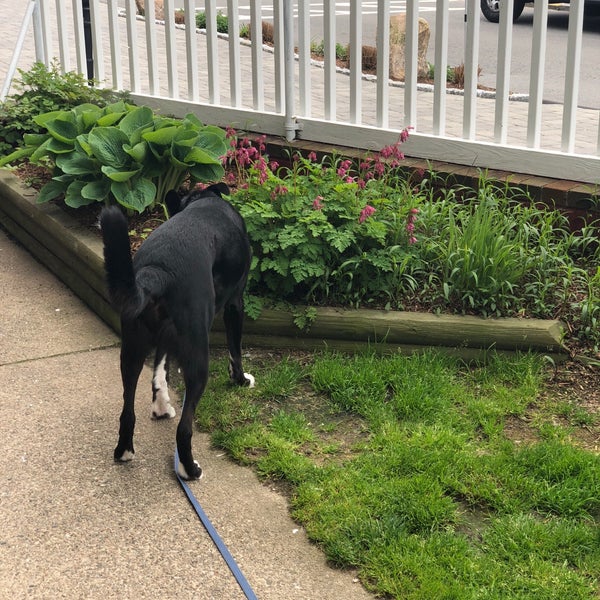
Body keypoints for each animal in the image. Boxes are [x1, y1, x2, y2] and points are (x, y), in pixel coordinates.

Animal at [100, 183, 253, 478]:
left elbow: (161, 367)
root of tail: (160, 271)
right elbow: (236, 351)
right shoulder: (235, 303)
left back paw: (125, 450)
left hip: (132, 349)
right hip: (198, 357)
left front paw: (161, 404)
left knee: (127, 411)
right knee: (184, 429)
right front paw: (240, 380)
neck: (202, 200)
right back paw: (190, 469)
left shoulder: (165, 335)